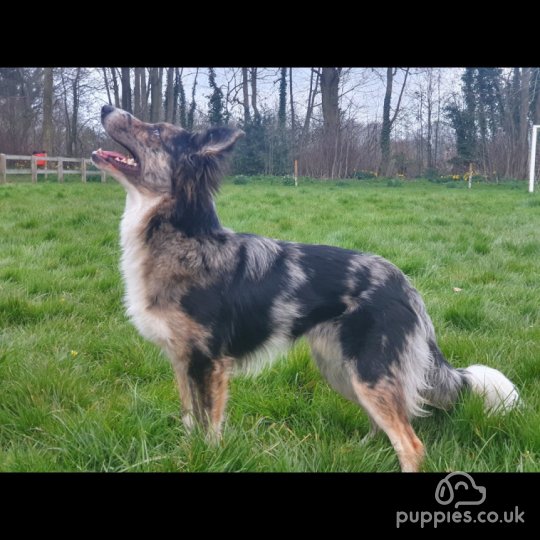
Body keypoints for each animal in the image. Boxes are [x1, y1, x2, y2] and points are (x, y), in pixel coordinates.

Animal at [92, 104, 520, 468]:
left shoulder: (210, 363)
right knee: (384, 427)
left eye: (154, 131)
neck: (183, 238)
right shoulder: (182, 361)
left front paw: (206, 459)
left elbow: (209, 430)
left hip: (369, 372)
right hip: (340, 369)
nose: (105, 107)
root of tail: (406, 287)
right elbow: (188, 421)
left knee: (411, 444)